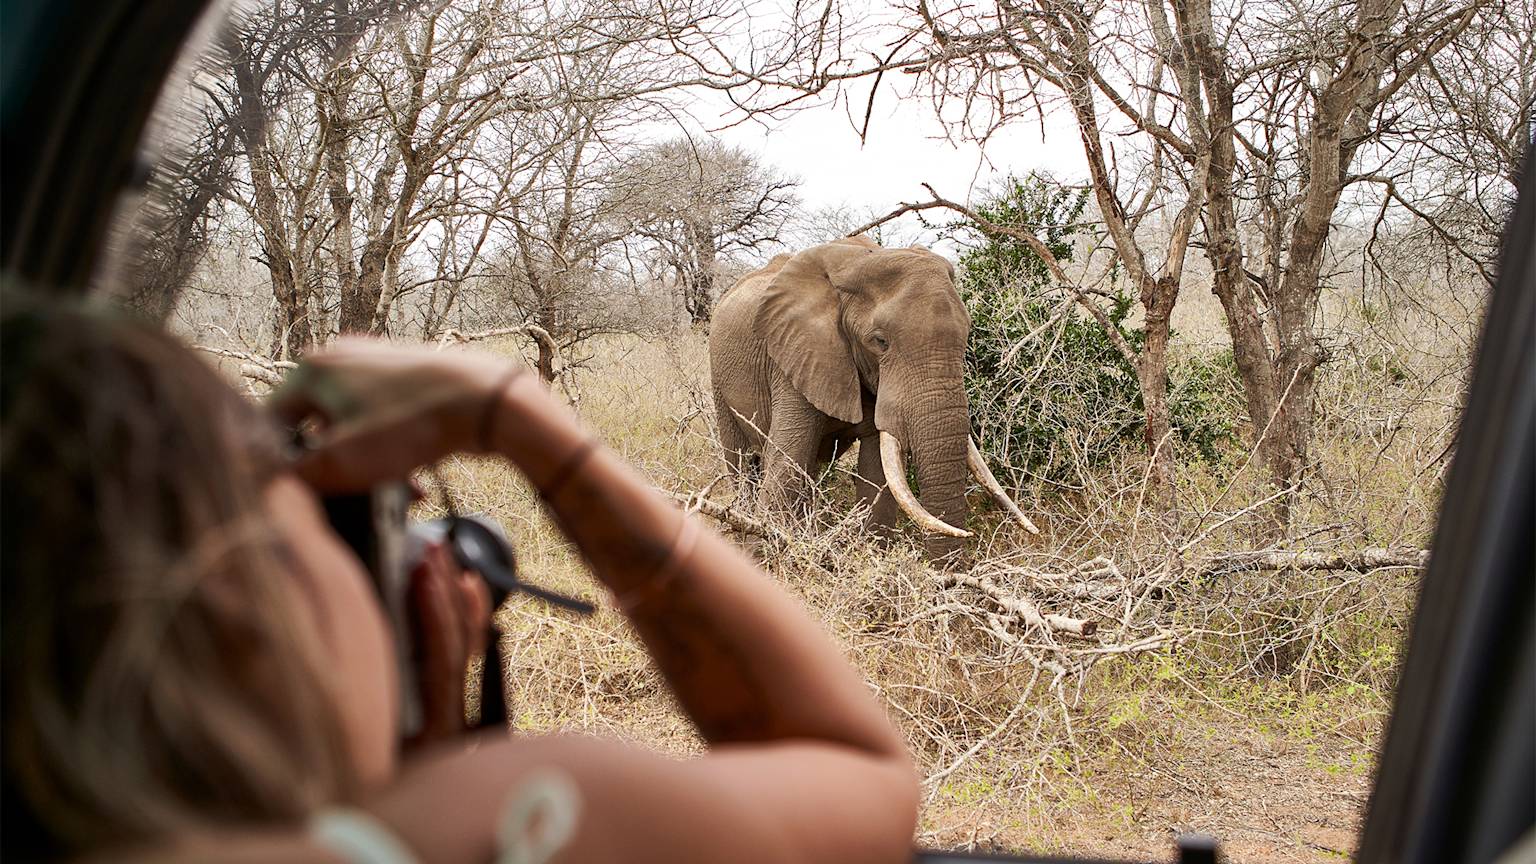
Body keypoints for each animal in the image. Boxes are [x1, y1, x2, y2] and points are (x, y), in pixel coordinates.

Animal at [708, 234, 1039, 557]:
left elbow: (877, 474)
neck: (857, 261)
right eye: (880, 342)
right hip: (718, 377)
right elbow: (787, 464)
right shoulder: (795, 355)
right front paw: (761, 555)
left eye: (967, 333)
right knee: (741, 463)